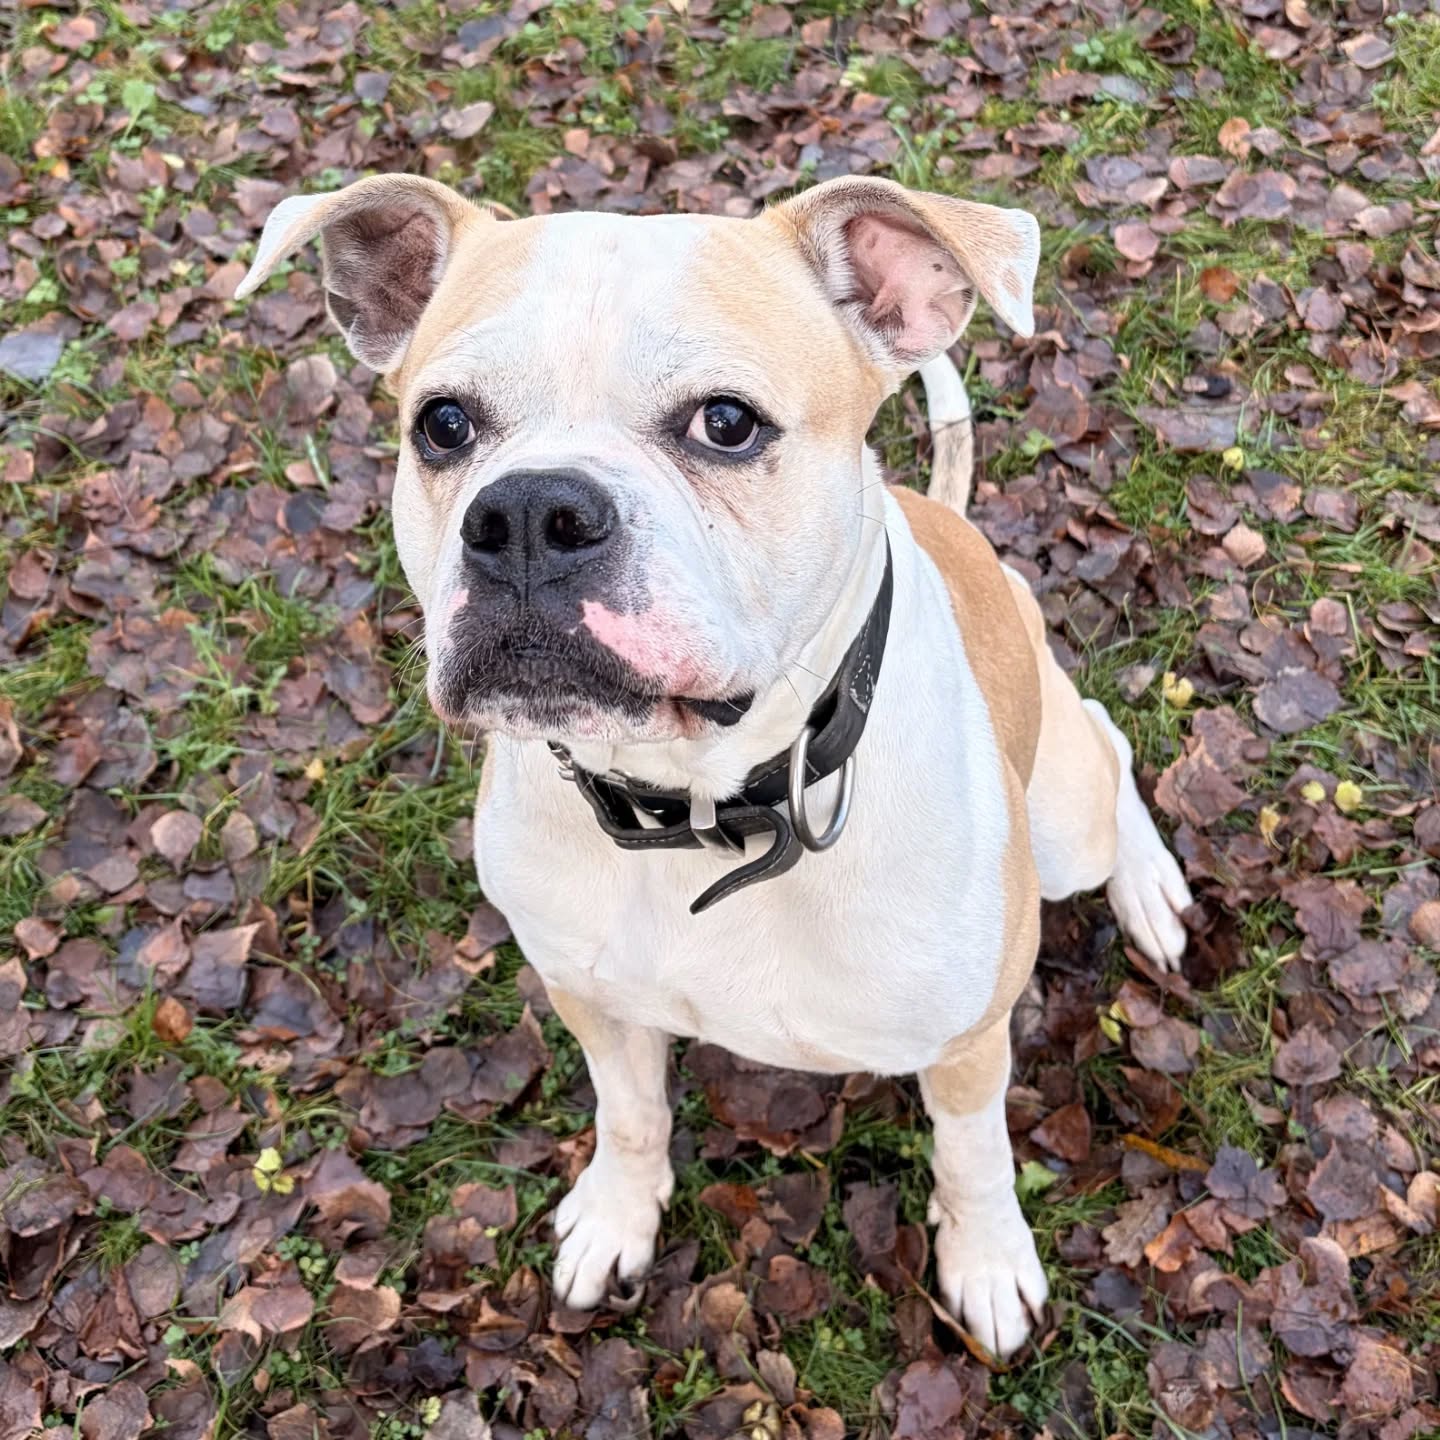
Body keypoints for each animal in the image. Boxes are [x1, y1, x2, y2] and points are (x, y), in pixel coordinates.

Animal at [237, 174, 1192, 1358]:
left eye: (726, 423)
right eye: (443, 424)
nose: (528, 515)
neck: (705, 806)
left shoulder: (968, 1041)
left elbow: (973, 1156)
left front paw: (986, 1260)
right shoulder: (591, 998)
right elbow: (631, 1112)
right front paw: (617, 1214)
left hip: (1062, 817)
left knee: (1107, 738)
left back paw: (1151, 891)